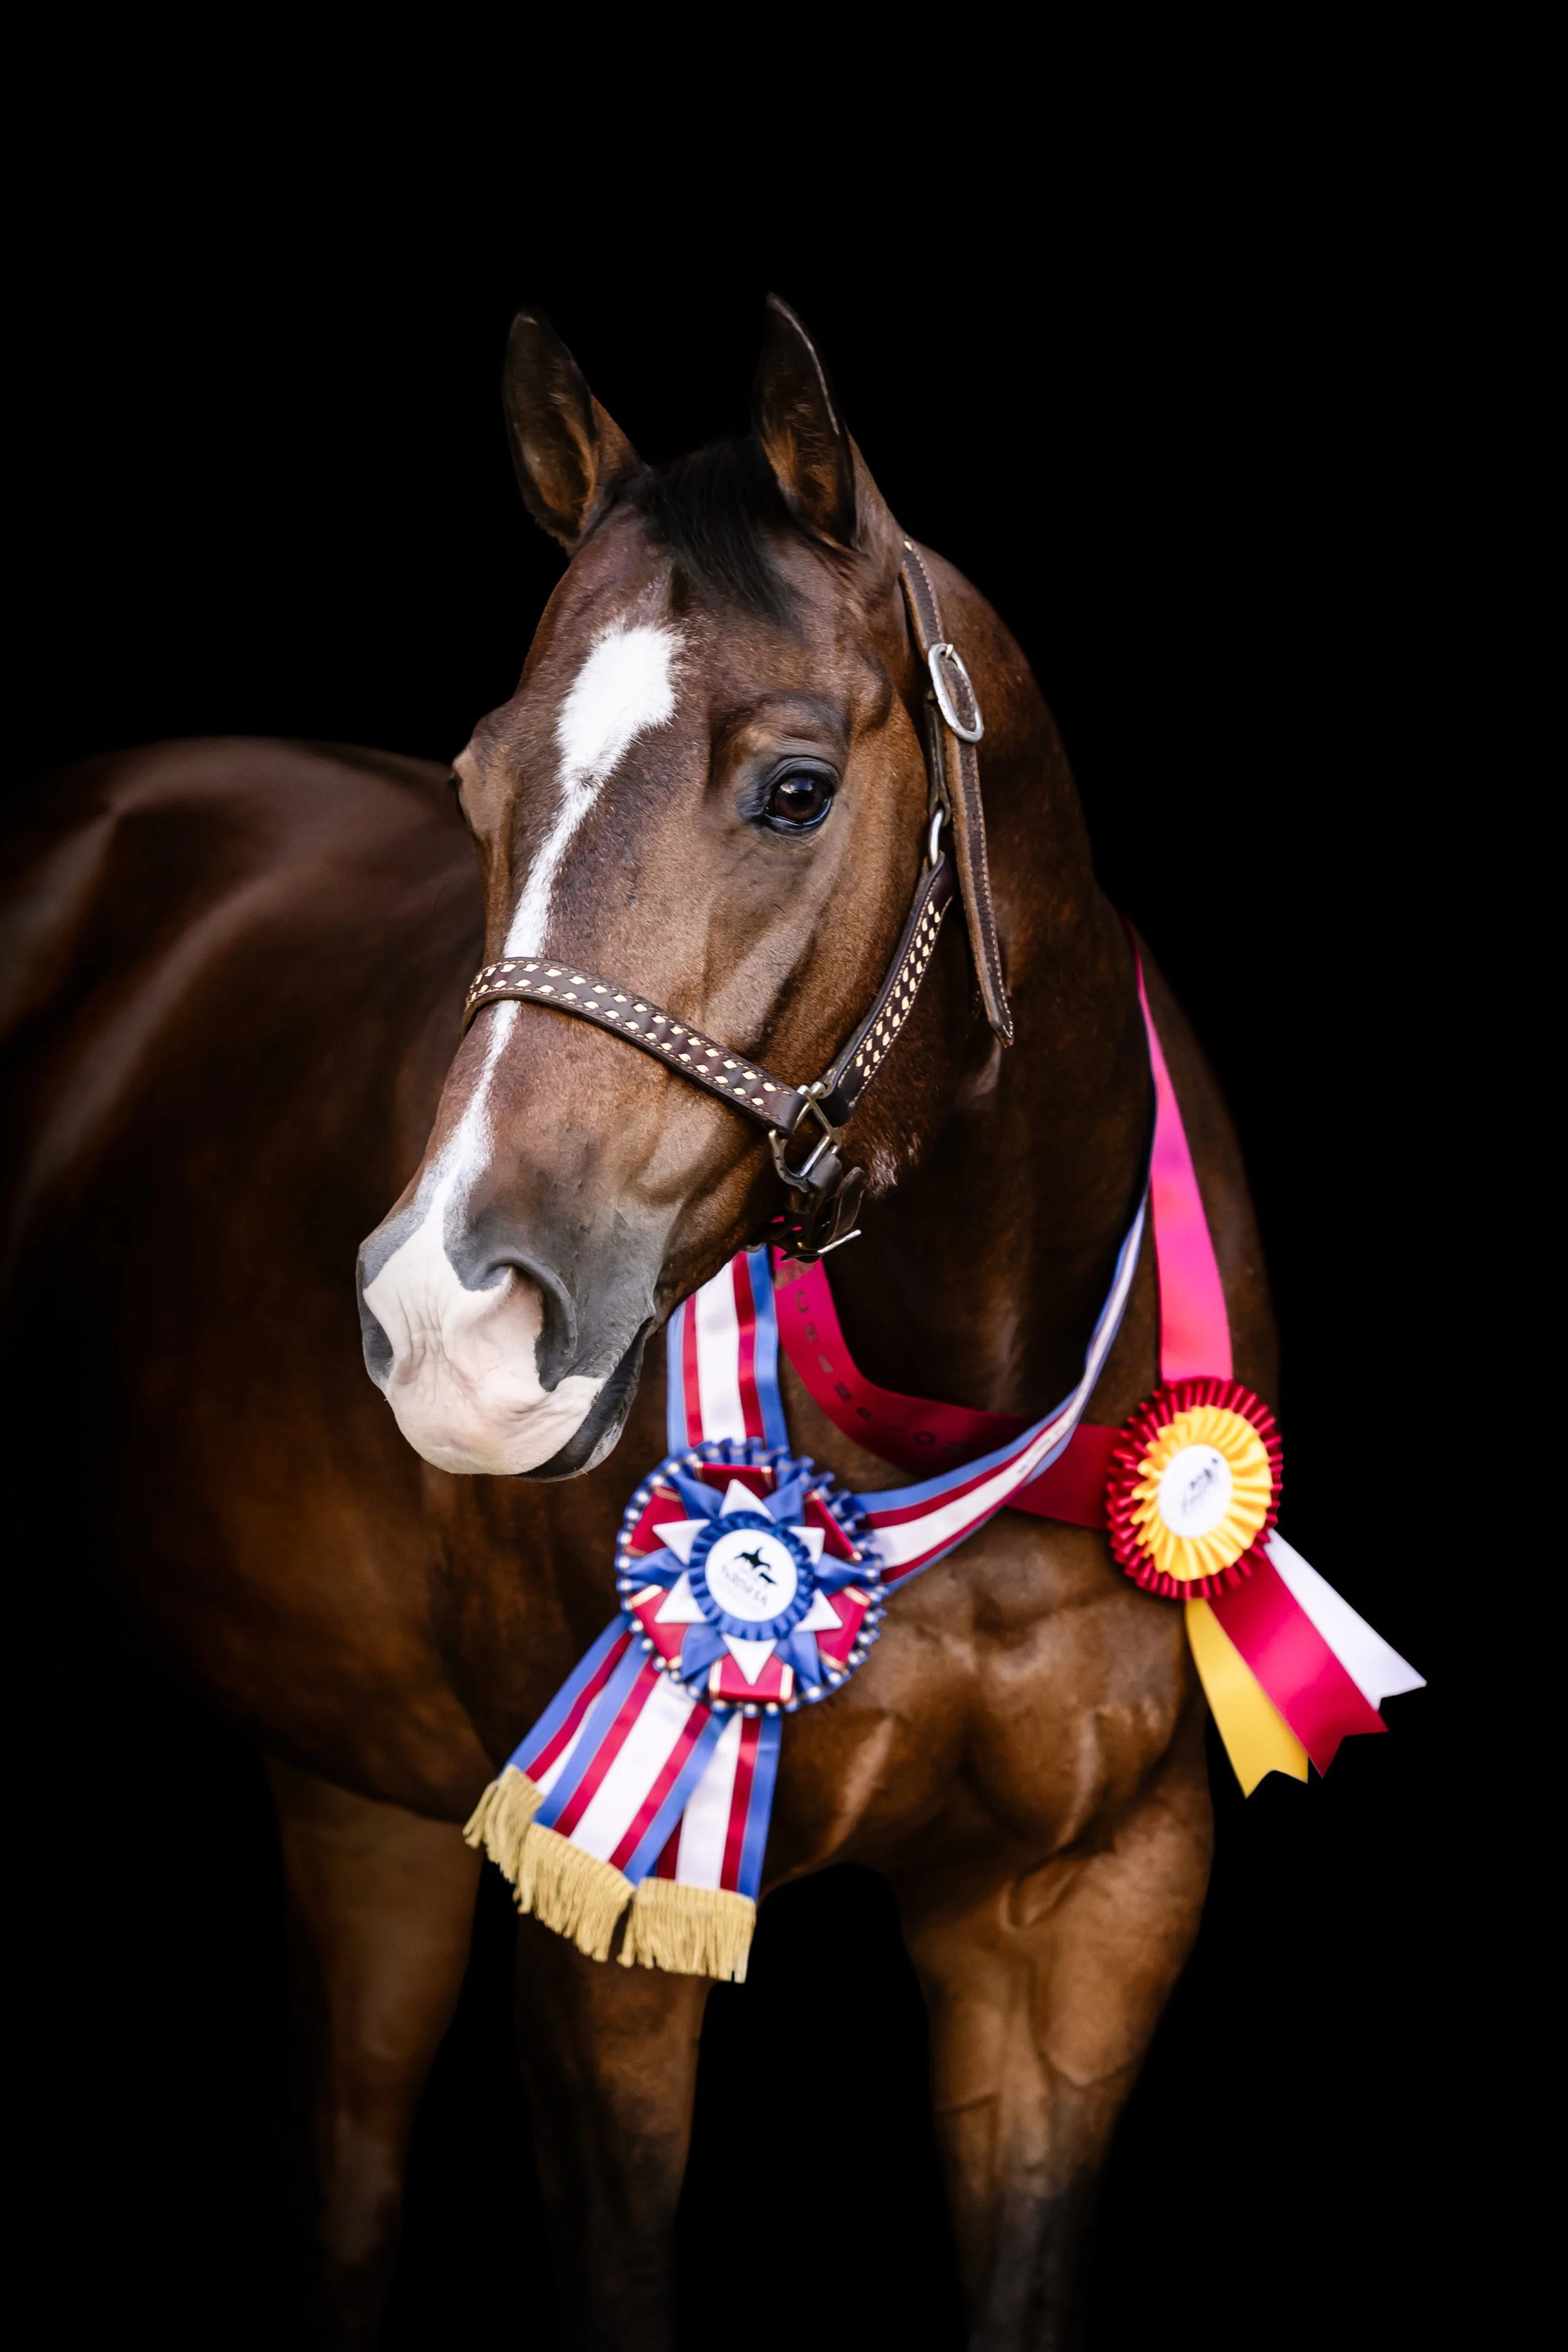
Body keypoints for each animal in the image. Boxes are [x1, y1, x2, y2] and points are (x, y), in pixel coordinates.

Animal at [1, 297, 1273, 2347]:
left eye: (793, 785)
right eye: (474, 786)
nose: (449, 1317)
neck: (960, 1405)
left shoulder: (1088, 1912)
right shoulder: (601, 1926)